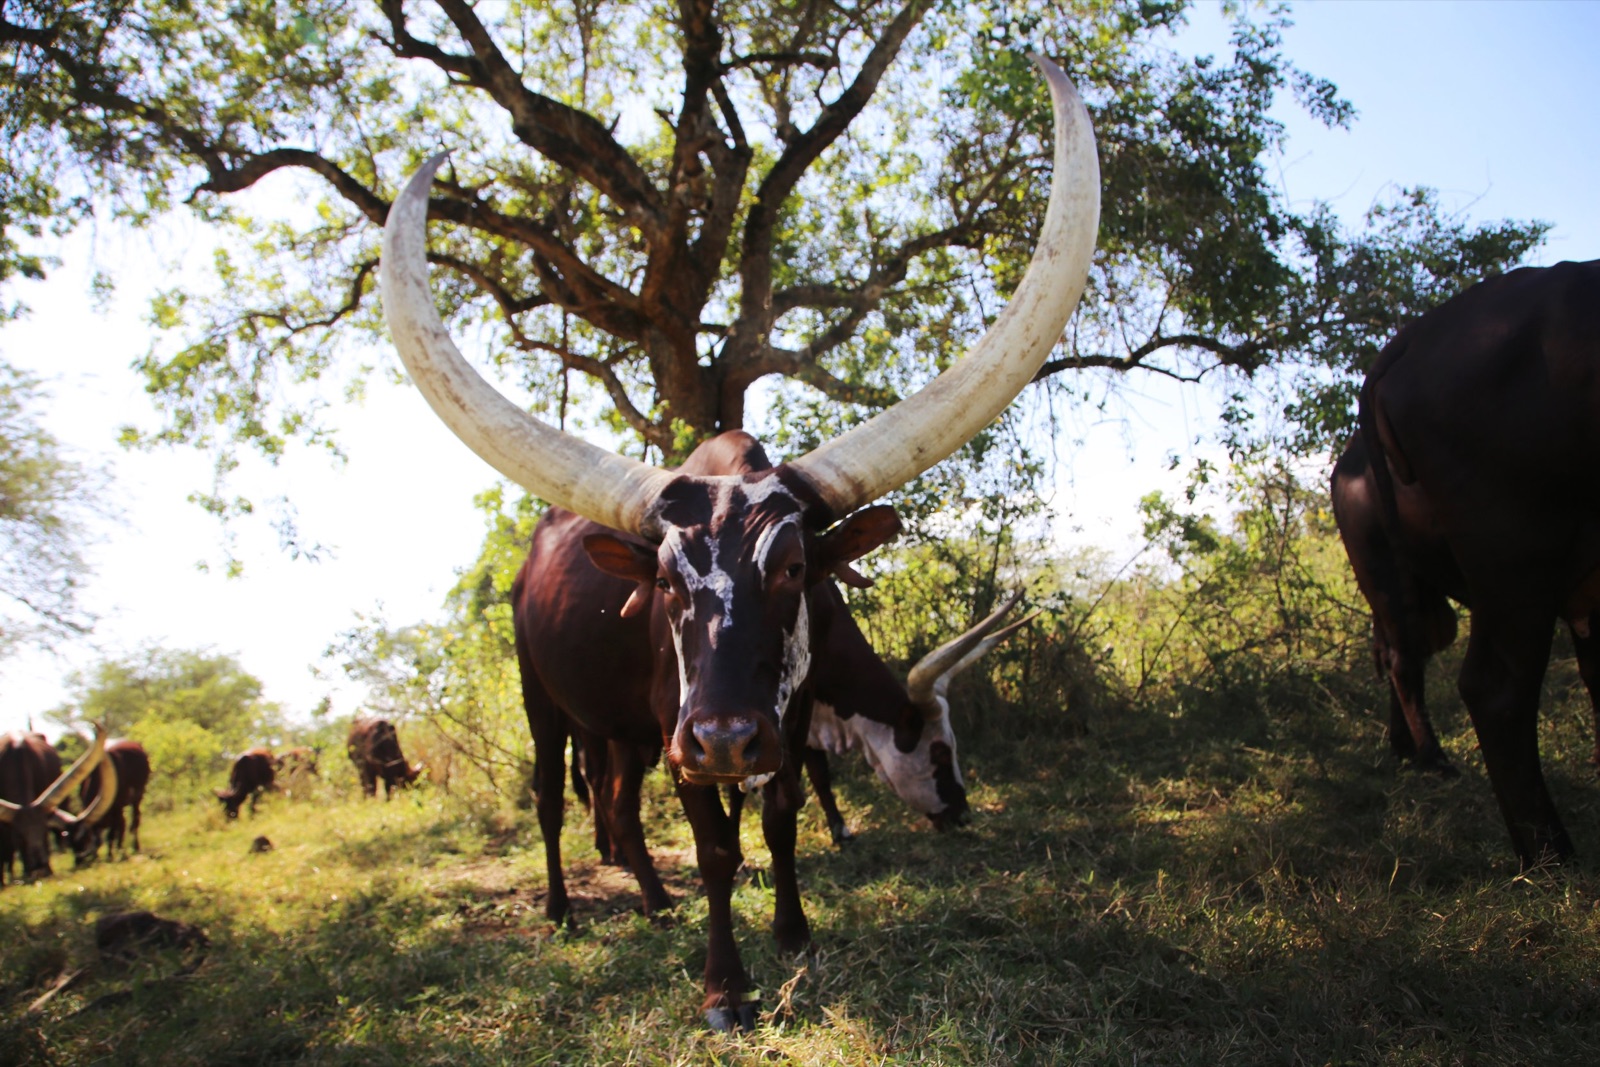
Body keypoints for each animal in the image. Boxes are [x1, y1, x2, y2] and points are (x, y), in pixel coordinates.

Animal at [381, 55, 1097, 1028]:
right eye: (664, 583)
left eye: (794, 566)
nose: (960, 807)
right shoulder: (687, 735)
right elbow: (718, 849)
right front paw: (724, 986)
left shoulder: (777, 724)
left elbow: (781, 814)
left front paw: (794, 933)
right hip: (550, 703)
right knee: (551, 799)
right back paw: (567, 907)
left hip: (624, 729)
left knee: (617, 805)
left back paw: (652, 898)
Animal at [1342, 257, 1600, 867]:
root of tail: (1415, 337)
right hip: (1512, 559)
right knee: (1488, 685)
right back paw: (1549, 854)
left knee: (1399, 652)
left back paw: (1410, 750)